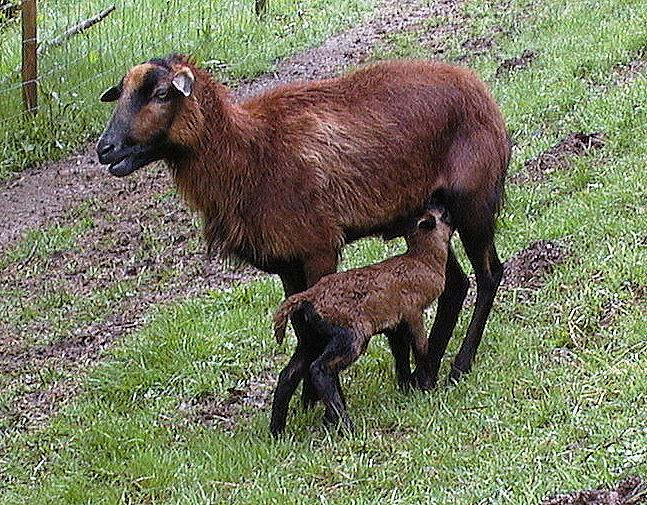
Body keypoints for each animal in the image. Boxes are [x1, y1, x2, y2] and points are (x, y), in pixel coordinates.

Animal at [96, 53, 512, 434]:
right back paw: (429, 370)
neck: (247, 155)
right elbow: (301, 325)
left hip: (473, 202)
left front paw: (326, 410)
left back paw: (458, 366)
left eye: (162, 93)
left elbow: (313, 321)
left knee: (489, 274)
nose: (105, 149)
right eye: (121, 93)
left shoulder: (318, 248)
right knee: (454, 283)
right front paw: (306, 403)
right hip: (429, 217)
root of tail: (478, 89)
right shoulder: (286, 261)